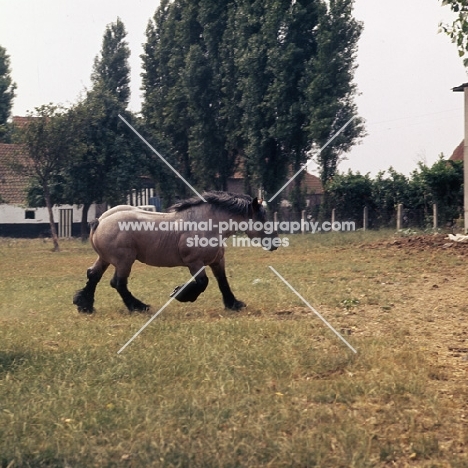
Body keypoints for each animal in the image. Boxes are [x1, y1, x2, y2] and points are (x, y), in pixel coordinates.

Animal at [72, 190, 278, 314]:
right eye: (261, 219)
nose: (275, 242)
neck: (208, 223)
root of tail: (100, 221)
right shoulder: (194, 263)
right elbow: (202, 283)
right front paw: (180, 294)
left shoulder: (217, 261)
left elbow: (223, 282)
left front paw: (233, 304)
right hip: (124, 261)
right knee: (118, 283)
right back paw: (139, 306)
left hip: (105, 259)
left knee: (93, 275)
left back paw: (85, 305)